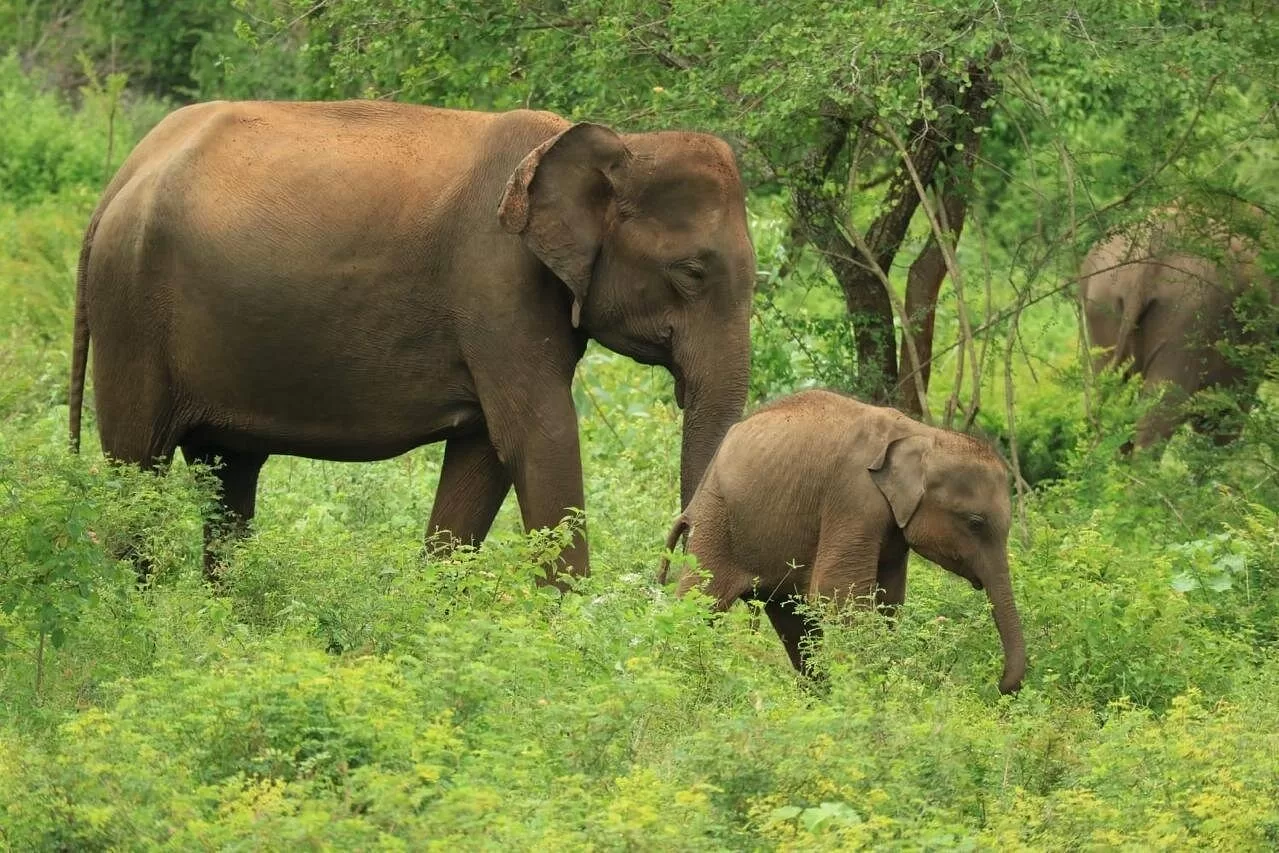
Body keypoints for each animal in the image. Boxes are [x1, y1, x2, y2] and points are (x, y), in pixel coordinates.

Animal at [68, 100, 756, 584]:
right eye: (692, 273)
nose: (661, 582)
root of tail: (119, 178)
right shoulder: (496, 283)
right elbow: (540, 437)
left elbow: (484, 454)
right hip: (131, 309)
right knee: (138, 466)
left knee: (228, 476)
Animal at [658, 389, 1026, 695]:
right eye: (976, 523)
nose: (998, 685)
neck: (922, 434)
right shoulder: (854, 498)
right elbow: (836, 592)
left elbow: (888, 601)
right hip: (716, 522)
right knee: (699, 603)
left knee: (794, 623)